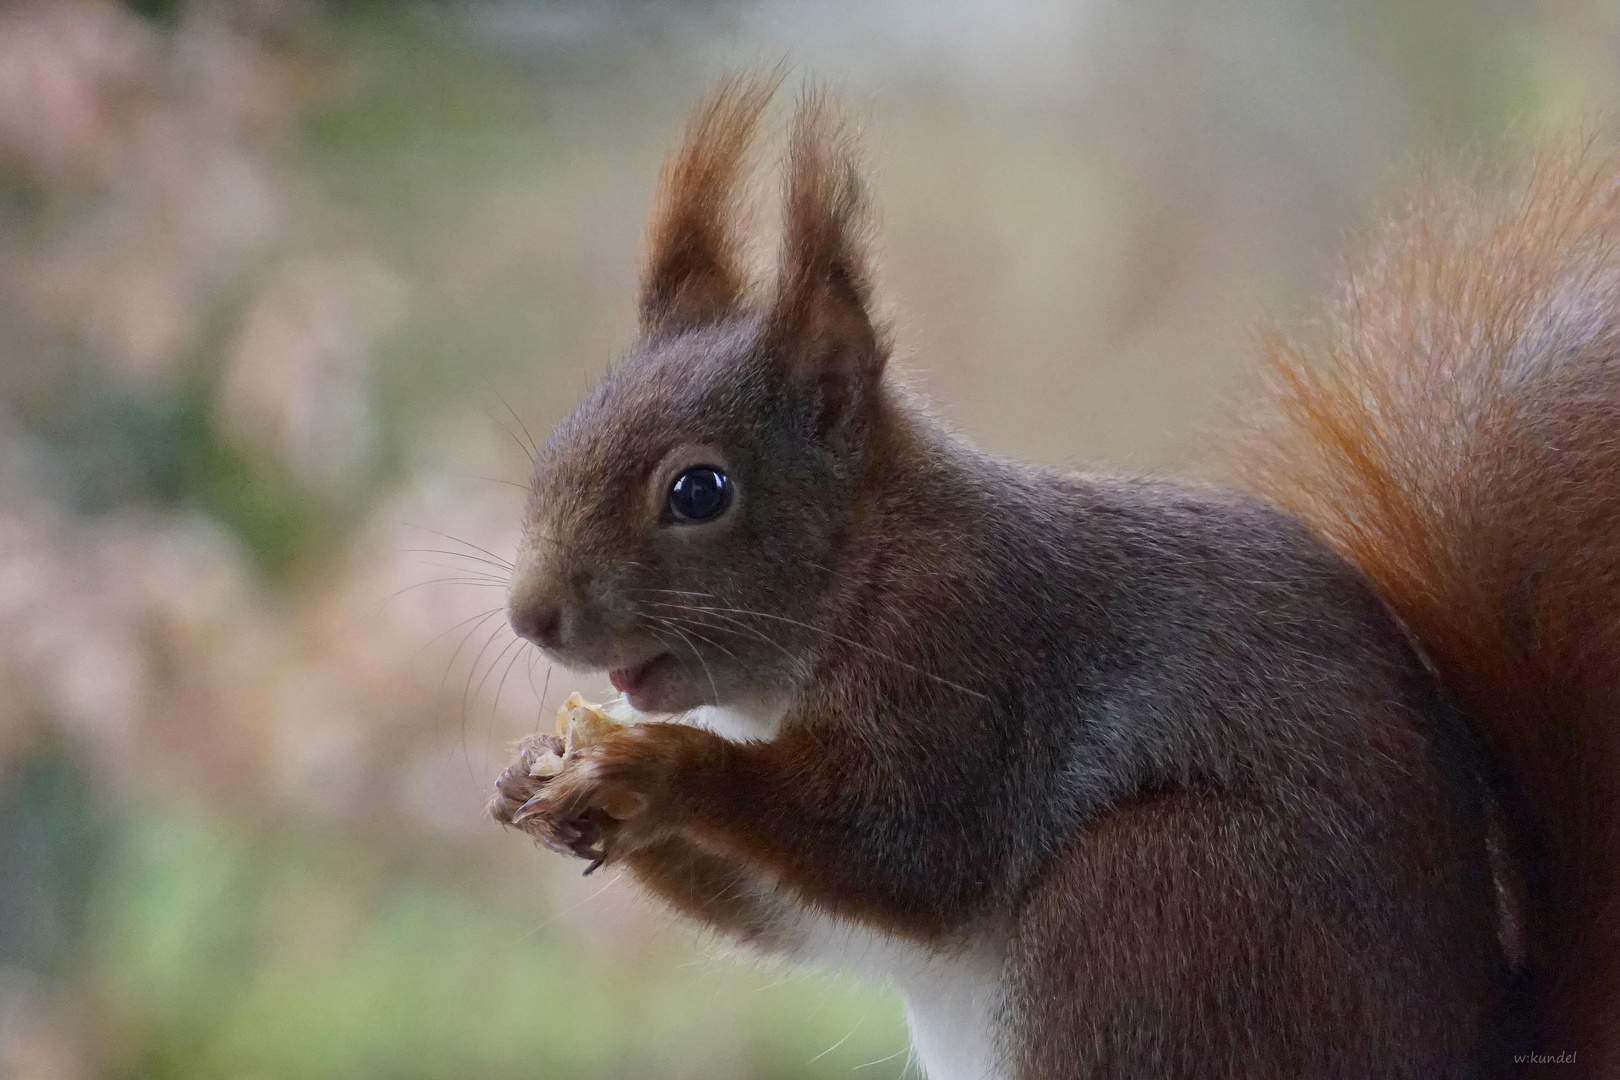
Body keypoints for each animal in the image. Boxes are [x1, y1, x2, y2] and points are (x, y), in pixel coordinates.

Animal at [486, 78, 1620, 1080]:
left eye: (700, 491)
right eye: (567, 433)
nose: (530, 616)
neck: (870, 566)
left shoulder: (975, 660)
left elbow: (908, 845)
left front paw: (657, 768)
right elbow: (798, 909)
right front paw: (539, 783)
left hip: (1165, 901)